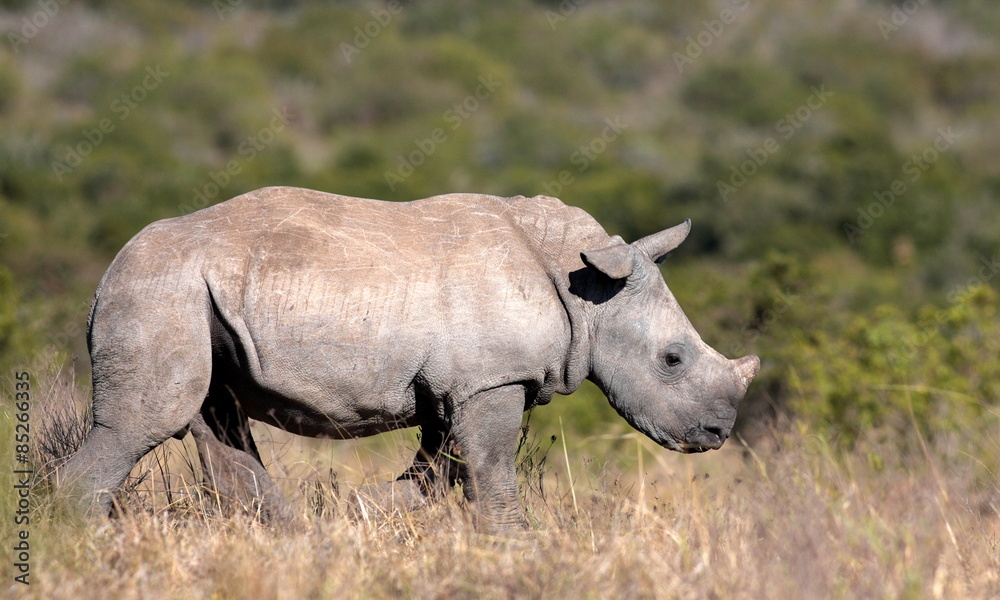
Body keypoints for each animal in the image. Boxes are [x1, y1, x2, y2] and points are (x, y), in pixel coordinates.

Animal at [59, 187, 759, 530]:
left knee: (215, 419)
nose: (718, 433)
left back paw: (292, 541)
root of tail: (99, 281)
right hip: (157, 287)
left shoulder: (461, 386)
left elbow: (439, 472)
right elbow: (491, 473)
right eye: (672, 360)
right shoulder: (490, 379)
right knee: (144, 423)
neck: (585, 285)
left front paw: (355, 513)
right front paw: (513, 547)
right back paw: (85, 542)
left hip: (188, 294)